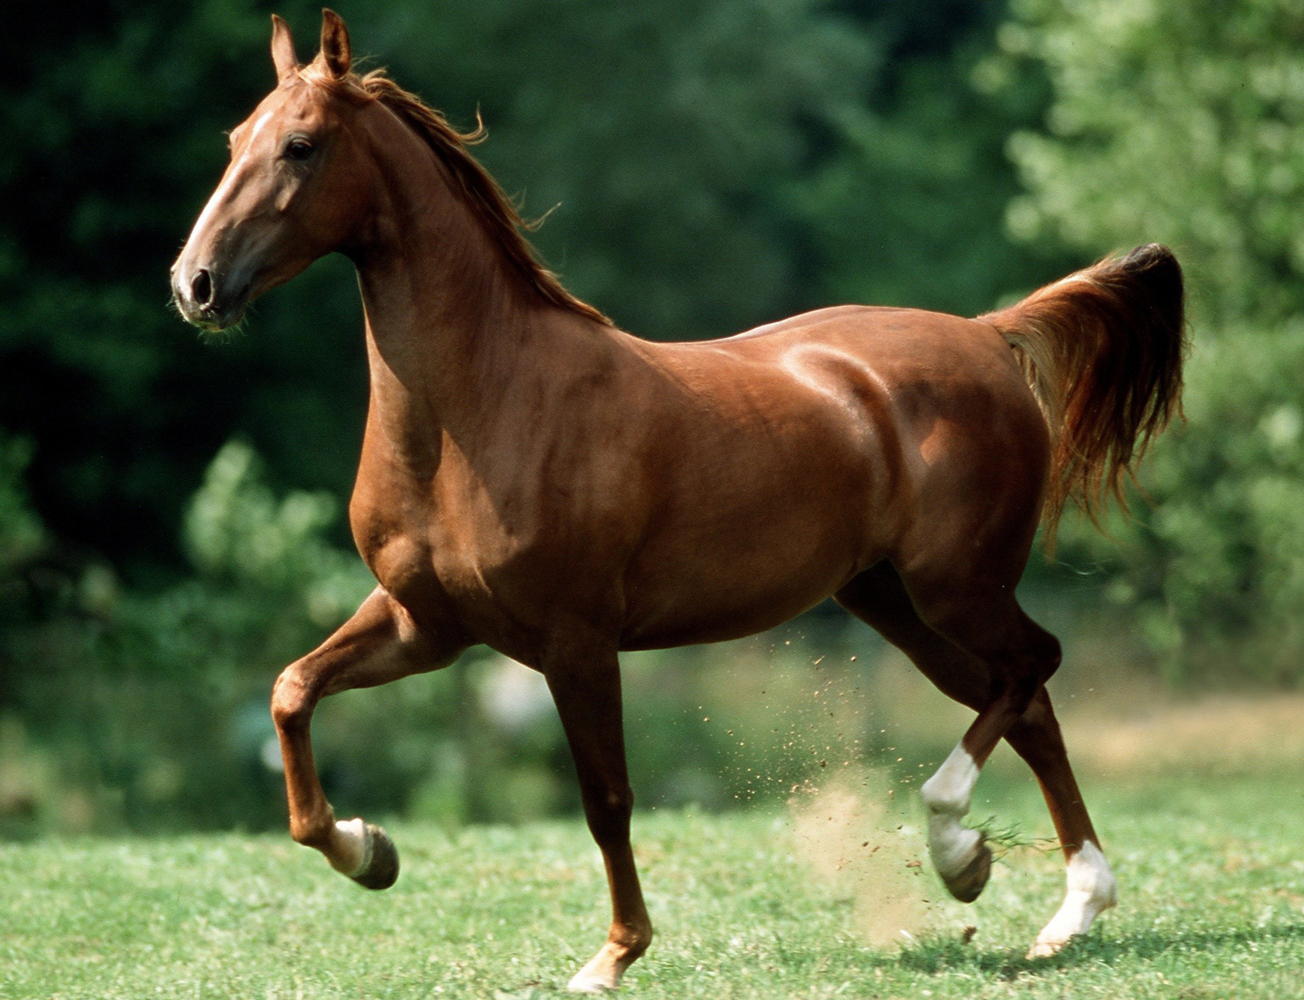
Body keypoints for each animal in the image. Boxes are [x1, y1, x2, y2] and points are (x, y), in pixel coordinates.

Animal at [171, 11, 1185, 992]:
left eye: (301, 145)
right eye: (233, 139)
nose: (195, 284)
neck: (484, 405)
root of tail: (986, 334)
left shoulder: (575, 641)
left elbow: (607, 799)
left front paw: (613, 957)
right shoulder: (427, 624)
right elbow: (291, 693)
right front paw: (369, 852)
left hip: (957, 588)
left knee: (1034, 669)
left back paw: (961, 848)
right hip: (893, 602)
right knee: (1026, 703)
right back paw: (1058, 906)